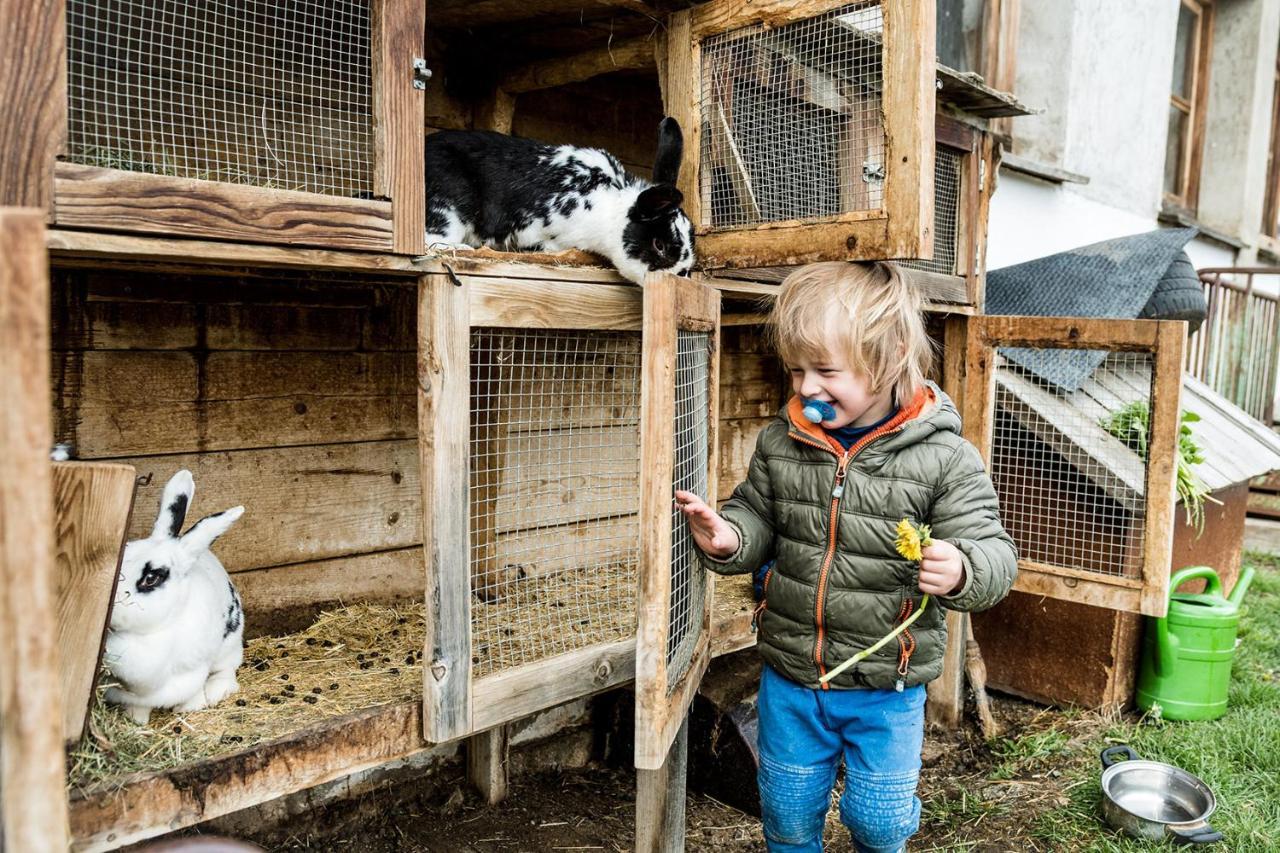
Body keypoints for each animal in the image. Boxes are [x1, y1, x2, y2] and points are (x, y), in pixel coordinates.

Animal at [104, 468, 244, 722]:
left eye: (151, 578)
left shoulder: (195, 669)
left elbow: (193, 691)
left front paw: (190, 708)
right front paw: (136, 720)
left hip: (229, 646)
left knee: (227, 670)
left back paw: (216, 691)